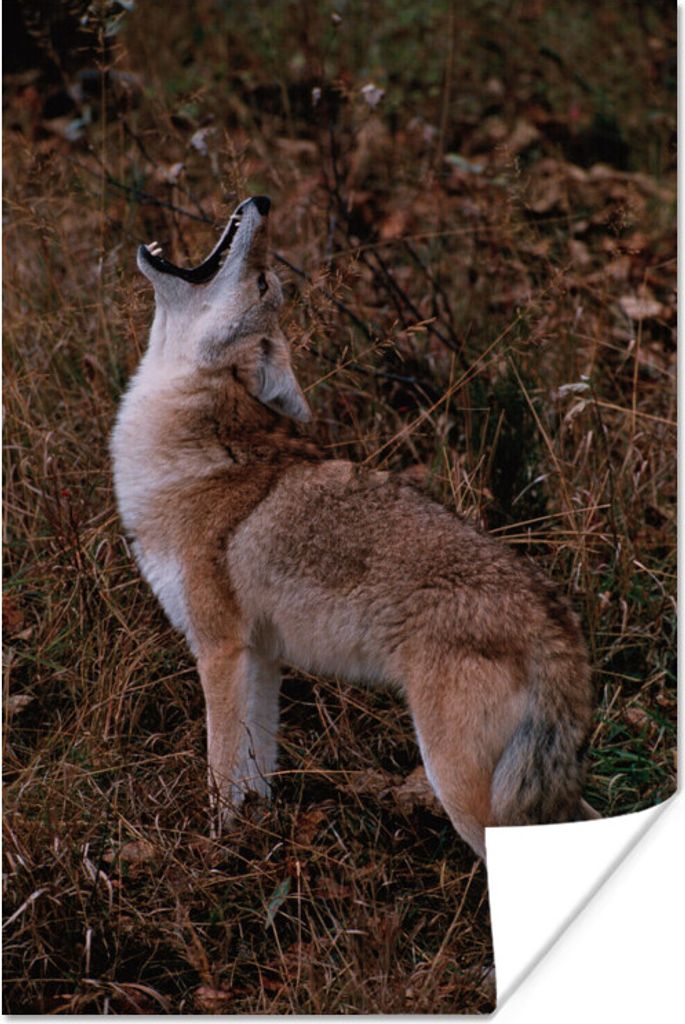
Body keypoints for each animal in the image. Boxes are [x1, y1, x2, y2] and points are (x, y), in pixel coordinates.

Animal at [111, 194, 598, 859]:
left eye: (263, 283)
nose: (263, 201)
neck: (194, 446)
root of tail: (558, 626)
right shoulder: (262, 658)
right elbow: (256, 773)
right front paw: (259, 844)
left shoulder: (220, 650)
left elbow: (220, 776)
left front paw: (216, 859)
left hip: (461, 785)